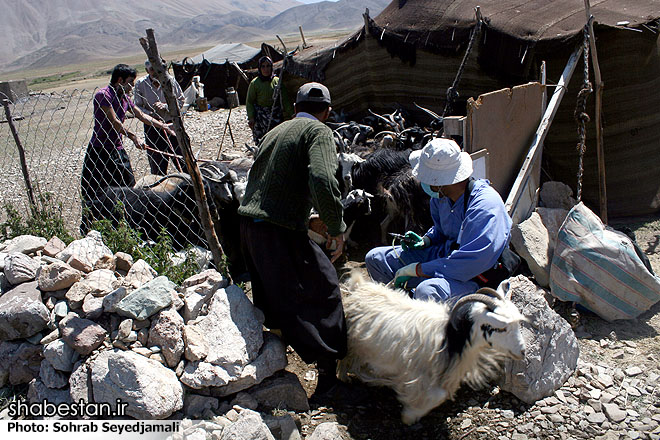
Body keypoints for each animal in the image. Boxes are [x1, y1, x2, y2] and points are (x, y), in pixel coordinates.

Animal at [340, 274, 524, 424]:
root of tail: (359, 287)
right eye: (500, 327)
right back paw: (346, 378)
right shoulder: (416, 374)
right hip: (352, 344)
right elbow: (435, 396)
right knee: (344, 361)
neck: (451, 337)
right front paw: (409, 415)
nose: (522, 352)